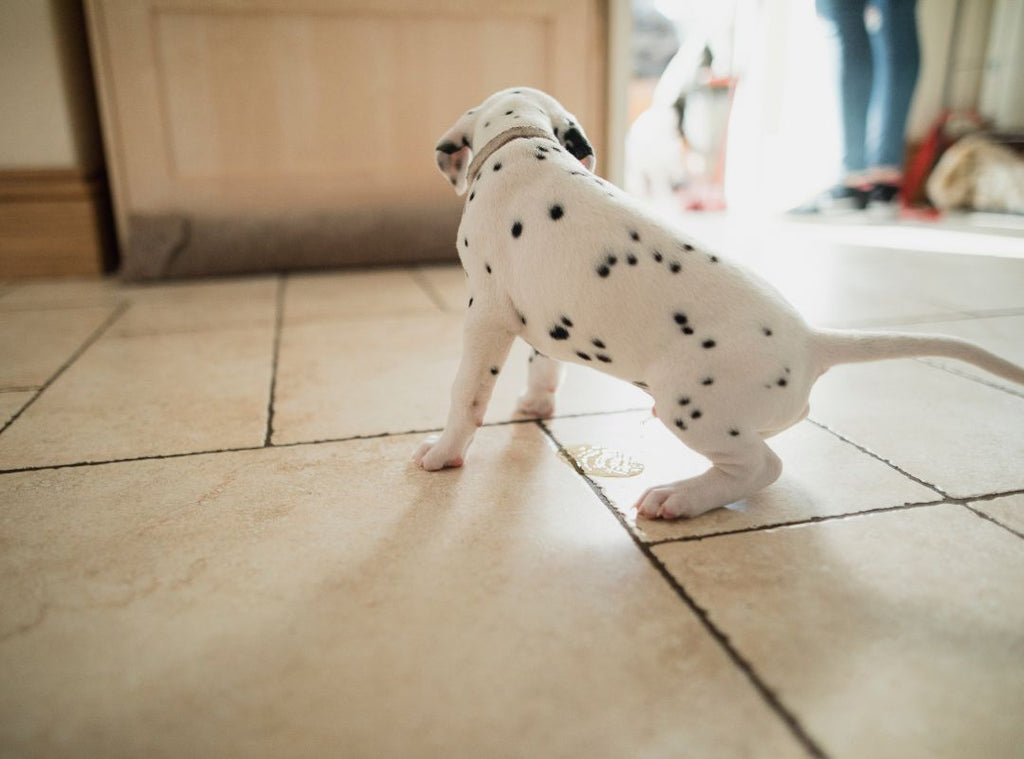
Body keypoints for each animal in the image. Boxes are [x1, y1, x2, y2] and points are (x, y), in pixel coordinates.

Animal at [413, 86, 1024, 518]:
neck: (524, 144)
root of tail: (813, 342)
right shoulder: (536, 313)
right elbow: (545, 365)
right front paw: (536, 404)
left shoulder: (487, 314)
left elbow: (467, 394)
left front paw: (444, 452)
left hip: (692, 406)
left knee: (762, 467)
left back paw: (679, 498)